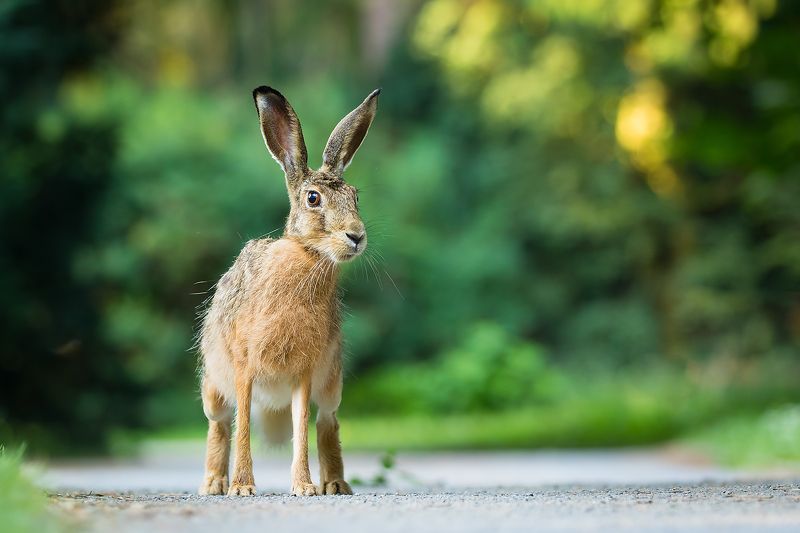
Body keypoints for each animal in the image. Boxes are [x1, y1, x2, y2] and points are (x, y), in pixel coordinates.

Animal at [198, 85, 379, 497]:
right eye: (313, 199)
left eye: (355, 197)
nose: (356, 236)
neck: (307, 255)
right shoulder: (244, 367)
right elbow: (243, 428)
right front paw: (242, 487)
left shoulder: (305, 373)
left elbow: (302, 429)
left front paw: (304, 487)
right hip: (213, 385)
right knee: (219, 423)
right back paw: (214, 484)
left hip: (332, 381)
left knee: (327, 421)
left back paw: (335, 484)